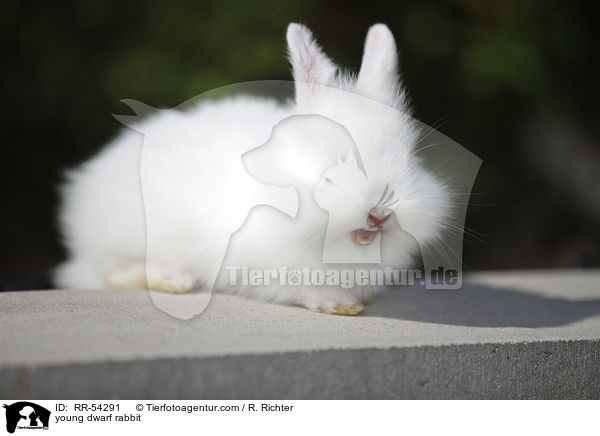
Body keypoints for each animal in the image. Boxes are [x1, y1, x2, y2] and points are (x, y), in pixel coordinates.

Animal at [55, 23, 450, 316]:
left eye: (410, 160)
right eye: (329, 174)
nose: (379, 215)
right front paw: (336, 304)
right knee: (109, 273)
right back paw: (173, 279)